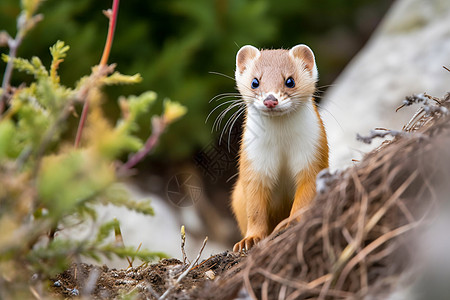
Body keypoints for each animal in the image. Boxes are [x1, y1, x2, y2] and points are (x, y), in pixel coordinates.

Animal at [230, 43, 328, 252]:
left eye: (289, 81)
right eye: (255, 82)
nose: (270, 99)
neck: (282, 145)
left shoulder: (313, 155)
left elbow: (304, 197)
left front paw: (291, 223)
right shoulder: (253, 162)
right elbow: (254, 208)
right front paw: (249, 240)